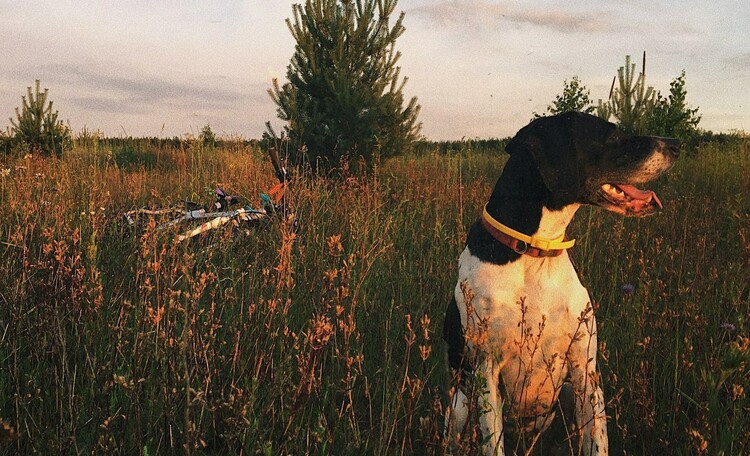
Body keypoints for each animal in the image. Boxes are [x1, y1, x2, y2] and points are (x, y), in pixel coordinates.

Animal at [444, 111, 684, 456]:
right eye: (612, 135)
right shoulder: (486, 371)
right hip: (460, 406)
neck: (534, 253)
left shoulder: (585, 369)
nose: (677, 144)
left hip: (570, 391)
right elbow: (493, 443)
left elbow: (597, 441)